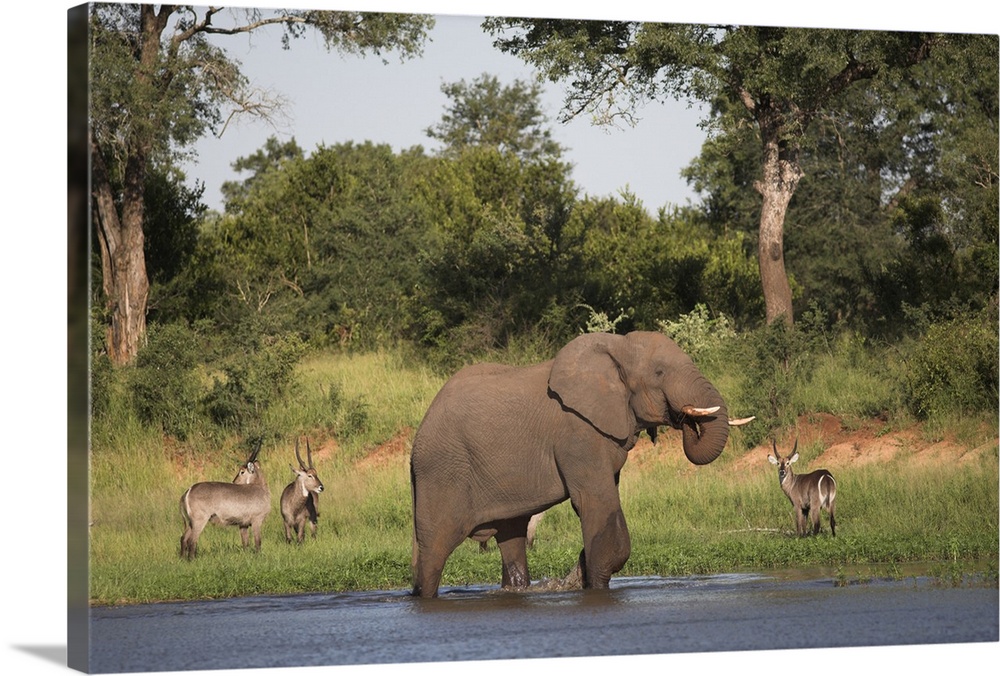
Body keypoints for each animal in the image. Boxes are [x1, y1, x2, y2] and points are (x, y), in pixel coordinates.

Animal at [410, 330, 752, 600]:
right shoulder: (578, 433)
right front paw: (590, 581)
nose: (686, 419)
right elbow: (596, 504)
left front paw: (581, 570)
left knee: (512, 535)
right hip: (442, 472)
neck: (618, 347)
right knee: (435, 549)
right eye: (659, 373)